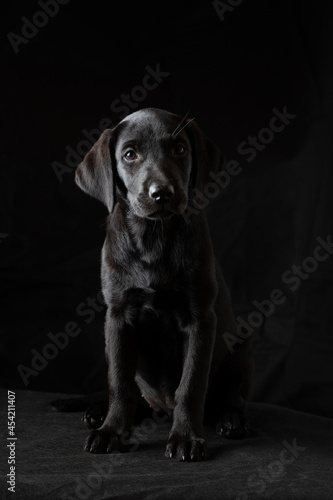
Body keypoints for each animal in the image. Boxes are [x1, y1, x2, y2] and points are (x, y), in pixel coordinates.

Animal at [60, 108, 252, 460]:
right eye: (129, 154)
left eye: (179, 149)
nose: (161, 193)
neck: (154, 237)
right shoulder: (118, 316)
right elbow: (120, 383)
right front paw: (111, 431)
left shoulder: (200, 318)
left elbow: (191, 383)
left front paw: (186, 437)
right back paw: (99, 412)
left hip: (243, 348)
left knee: (232, 398)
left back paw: (231, 420)